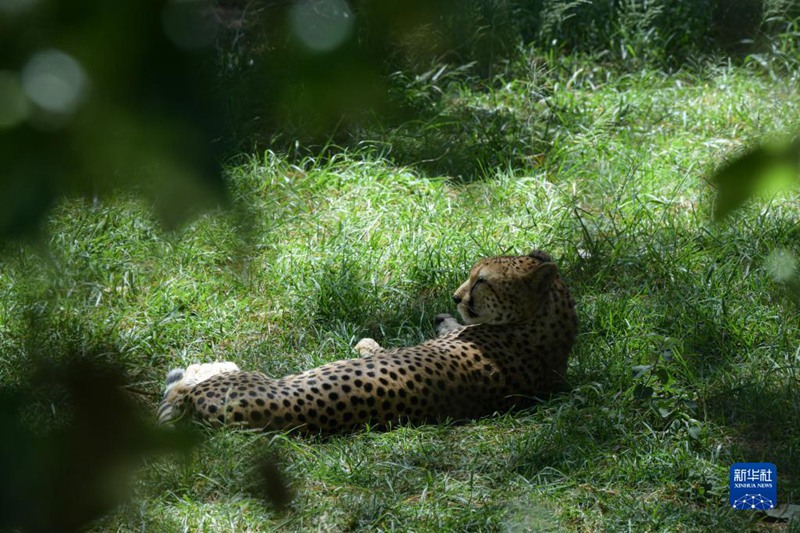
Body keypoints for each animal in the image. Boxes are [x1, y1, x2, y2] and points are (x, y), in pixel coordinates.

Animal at [159, 250, 580, 432]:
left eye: (482, 281)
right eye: (471, 275)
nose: (456, 297)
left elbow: (379, 347)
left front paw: (365, 343)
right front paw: (440, 318)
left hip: (245, 379)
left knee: (182, 389)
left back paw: (204, 366)